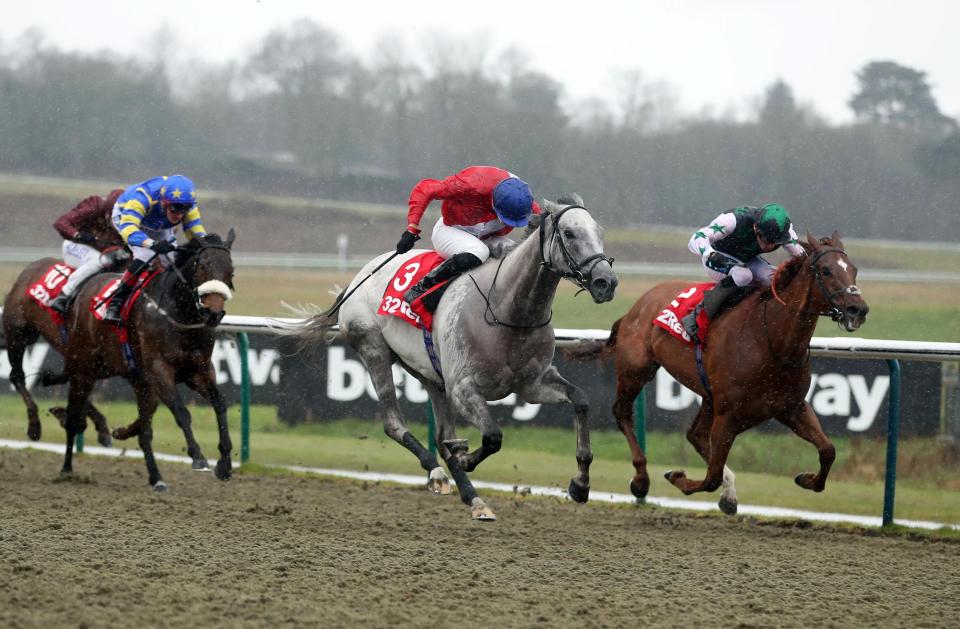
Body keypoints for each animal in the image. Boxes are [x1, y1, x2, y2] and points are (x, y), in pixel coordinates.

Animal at [286, 197, 616, 520]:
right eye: (570, 234)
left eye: (600, 232)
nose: (606, 282)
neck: (509, 310)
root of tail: (358, 277)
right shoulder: (463, 387)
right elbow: (492, 436)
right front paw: (466, 457)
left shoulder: (532, 384)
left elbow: (581, 399)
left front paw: (580, 484)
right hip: (374, 349)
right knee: (394, 423)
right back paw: (437, 473)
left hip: (430, 375)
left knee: (442, 435)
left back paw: (474, 498)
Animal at [568, 233, 872, 512]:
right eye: (826, 270)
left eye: (854, 269)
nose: (858, 309)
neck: (773, 341)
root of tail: (636, 307)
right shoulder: (729, 413)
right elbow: (710, 477)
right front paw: (677, 476)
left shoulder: (790, 406)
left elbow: (828, 450)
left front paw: (806, 479)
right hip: (636, 369)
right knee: (622, 412)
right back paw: (640, 478)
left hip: (709, 395)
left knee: (695, 435)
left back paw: (727, 493)